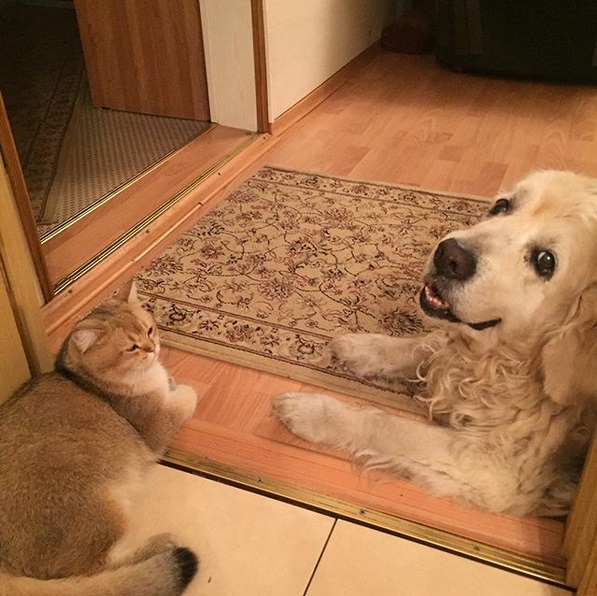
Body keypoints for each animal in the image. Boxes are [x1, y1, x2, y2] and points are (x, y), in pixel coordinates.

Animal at [0, 280, 200, 596]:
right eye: (131, 347)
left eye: (150, 330)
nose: (153, 348)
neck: (85, 381)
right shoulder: (158, 423)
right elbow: (187, 397)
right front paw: (181, 388)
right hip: (104, 509)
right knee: (94, 569)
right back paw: (164, 542)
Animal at [274, 169, 596, 516]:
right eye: (502, 206)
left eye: (545, 261)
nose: (449, 255)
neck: (508, 364)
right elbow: (424, 346)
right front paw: (362, 349)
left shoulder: (496, 470)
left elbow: (388, 425)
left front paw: (314, 412)